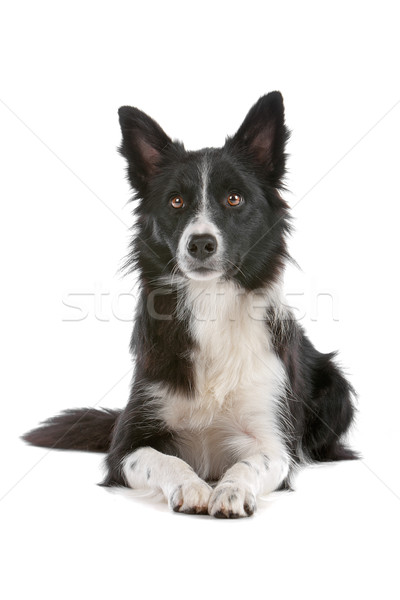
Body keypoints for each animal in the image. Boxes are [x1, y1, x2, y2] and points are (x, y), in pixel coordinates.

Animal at [21, 91, 356, 516]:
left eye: (234, 199)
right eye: (177, 201)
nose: (200, 244)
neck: (210, 300)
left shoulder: (274, 441)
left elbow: (252, 462)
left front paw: (231, 491)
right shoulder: (126, 445)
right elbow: (162, 459)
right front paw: (192, 486)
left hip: (337, 386)